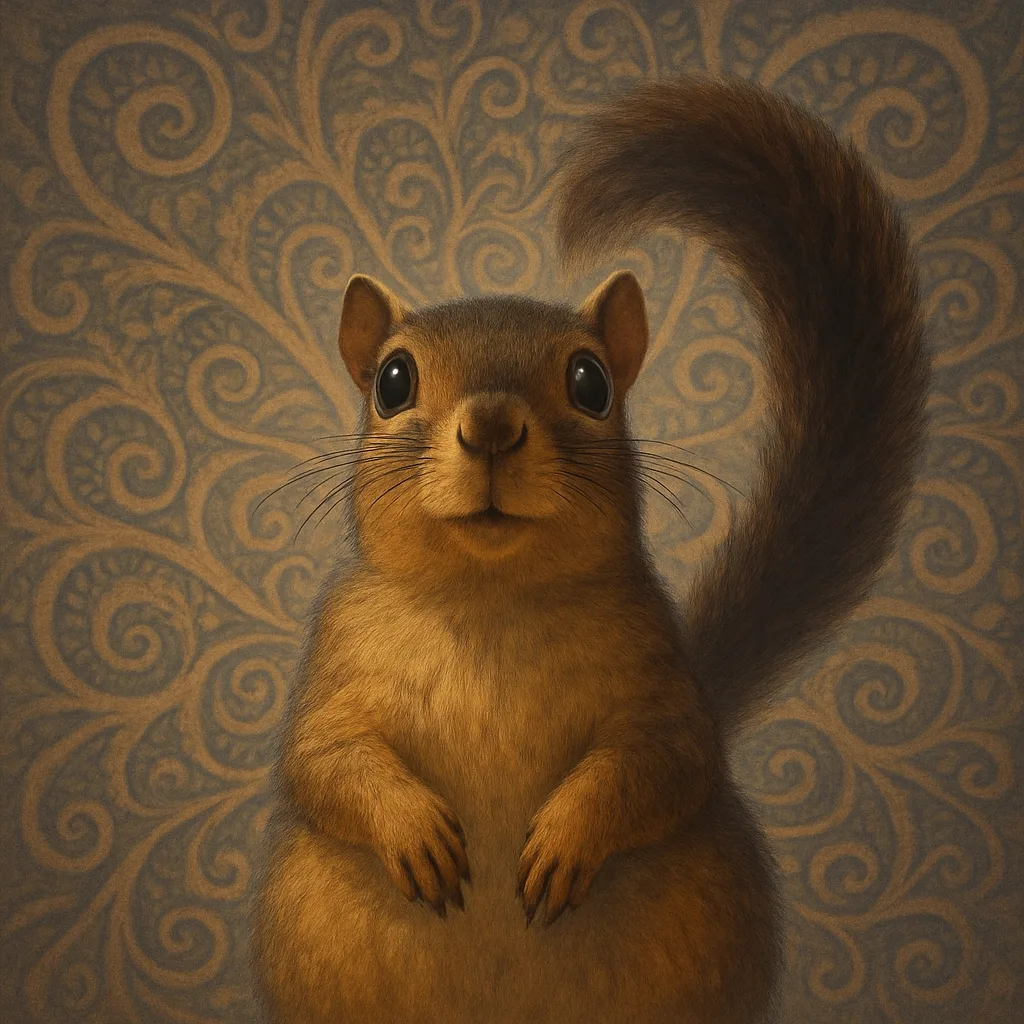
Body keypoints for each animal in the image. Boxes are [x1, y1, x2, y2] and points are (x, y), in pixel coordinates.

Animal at [252, 75, 929, 1024]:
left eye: (591, 381)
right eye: (391, 380)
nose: (492, 428)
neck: (490, 599)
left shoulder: (659, 673)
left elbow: (664, 760)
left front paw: (564, 842)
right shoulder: (336, 658)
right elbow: (322, 759)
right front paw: (413, 829)